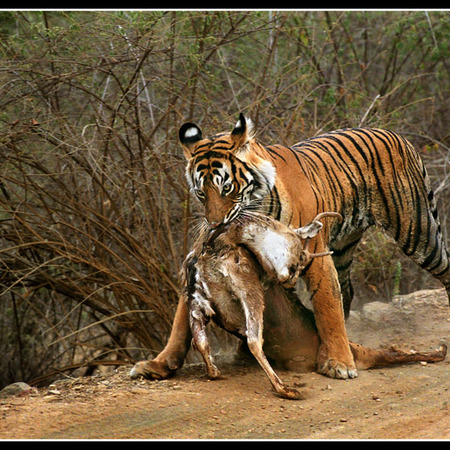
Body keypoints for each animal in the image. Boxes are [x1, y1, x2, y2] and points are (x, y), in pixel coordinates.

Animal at [130, 113, 450, 381]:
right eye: (200, 193)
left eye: (226, 188)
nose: (215, 224)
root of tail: (397, 134)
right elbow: (180, 321)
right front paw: (158, 365)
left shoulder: (313, 254)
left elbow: (327, 306)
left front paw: (339, 362)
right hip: (343, 248)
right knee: (346, 292)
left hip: (416, 231)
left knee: (443, 266)